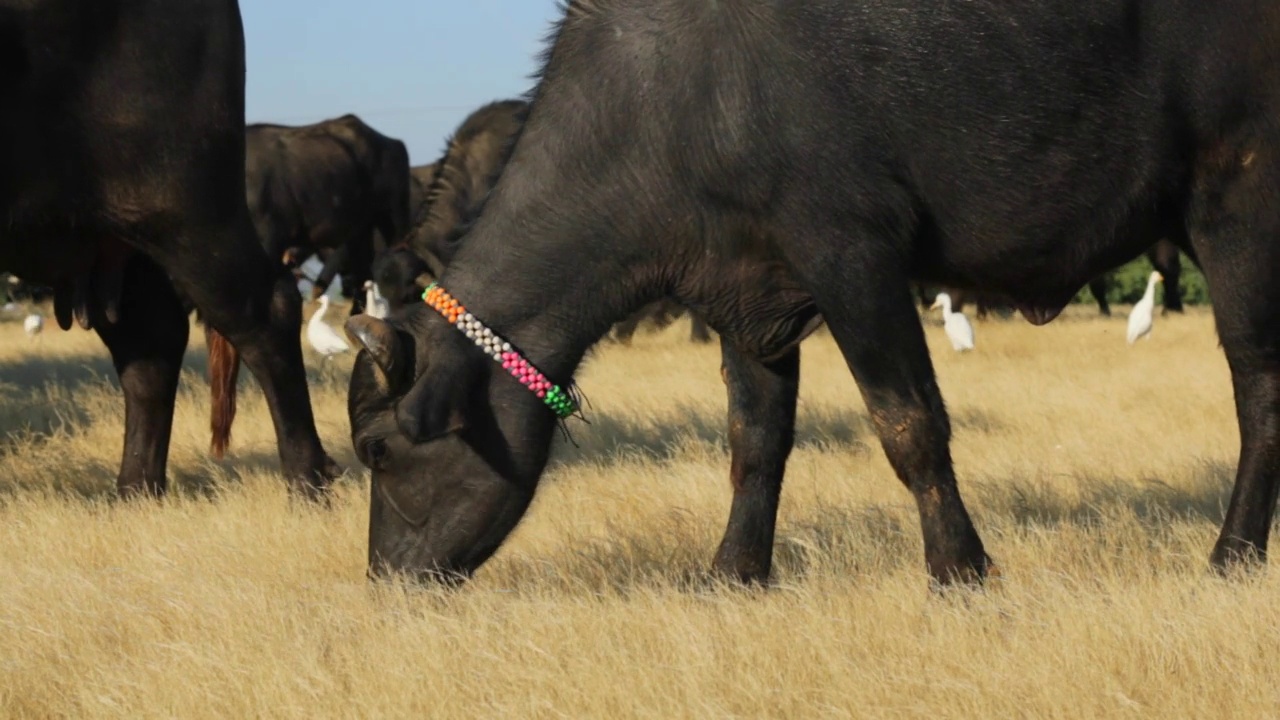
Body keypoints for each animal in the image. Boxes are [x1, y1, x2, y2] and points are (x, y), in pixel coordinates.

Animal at [0, 0, 337, 497]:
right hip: (126, 241)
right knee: (150, 342)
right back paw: (135, 489)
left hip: (190, 209)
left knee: (263, 313)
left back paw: (308, 480)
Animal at [345, 0, 1280, 586]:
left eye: (379, 453)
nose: (389, 581)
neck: (672, 100)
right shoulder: (746, 296)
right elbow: (754, 441)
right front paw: (732, 573)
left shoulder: (851, 256)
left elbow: (909, 426)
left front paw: (960, 572)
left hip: (1236, 201)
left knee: (1258, 387)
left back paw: (1232, 555)